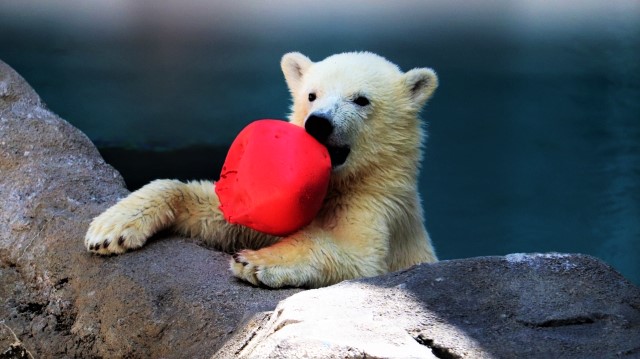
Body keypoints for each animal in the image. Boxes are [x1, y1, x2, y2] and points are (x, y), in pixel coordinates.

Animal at [85, 51, 438, 290]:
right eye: (311, 95)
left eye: (361, 100)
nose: (318, 123)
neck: (338, 181)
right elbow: (223, 213)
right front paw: (108, 230)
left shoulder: (378, 208)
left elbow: (357, 256)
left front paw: (253, 261)